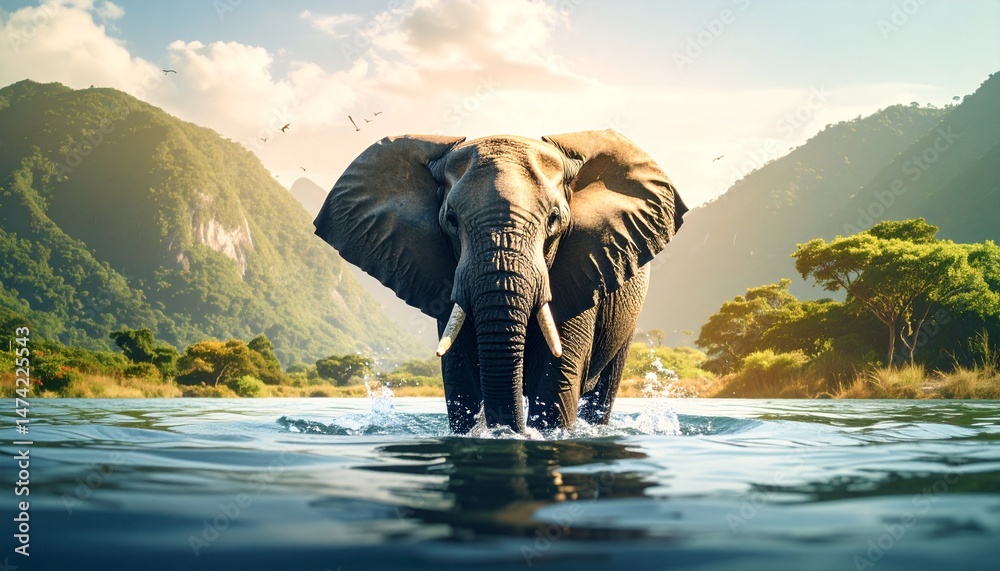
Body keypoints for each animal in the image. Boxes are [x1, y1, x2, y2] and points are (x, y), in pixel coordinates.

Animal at [314, 130, 686, 434]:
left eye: (554, 220)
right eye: (451, 219)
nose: (511, 430)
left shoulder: (584, 264)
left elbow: (555, 379)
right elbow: (460, 378)